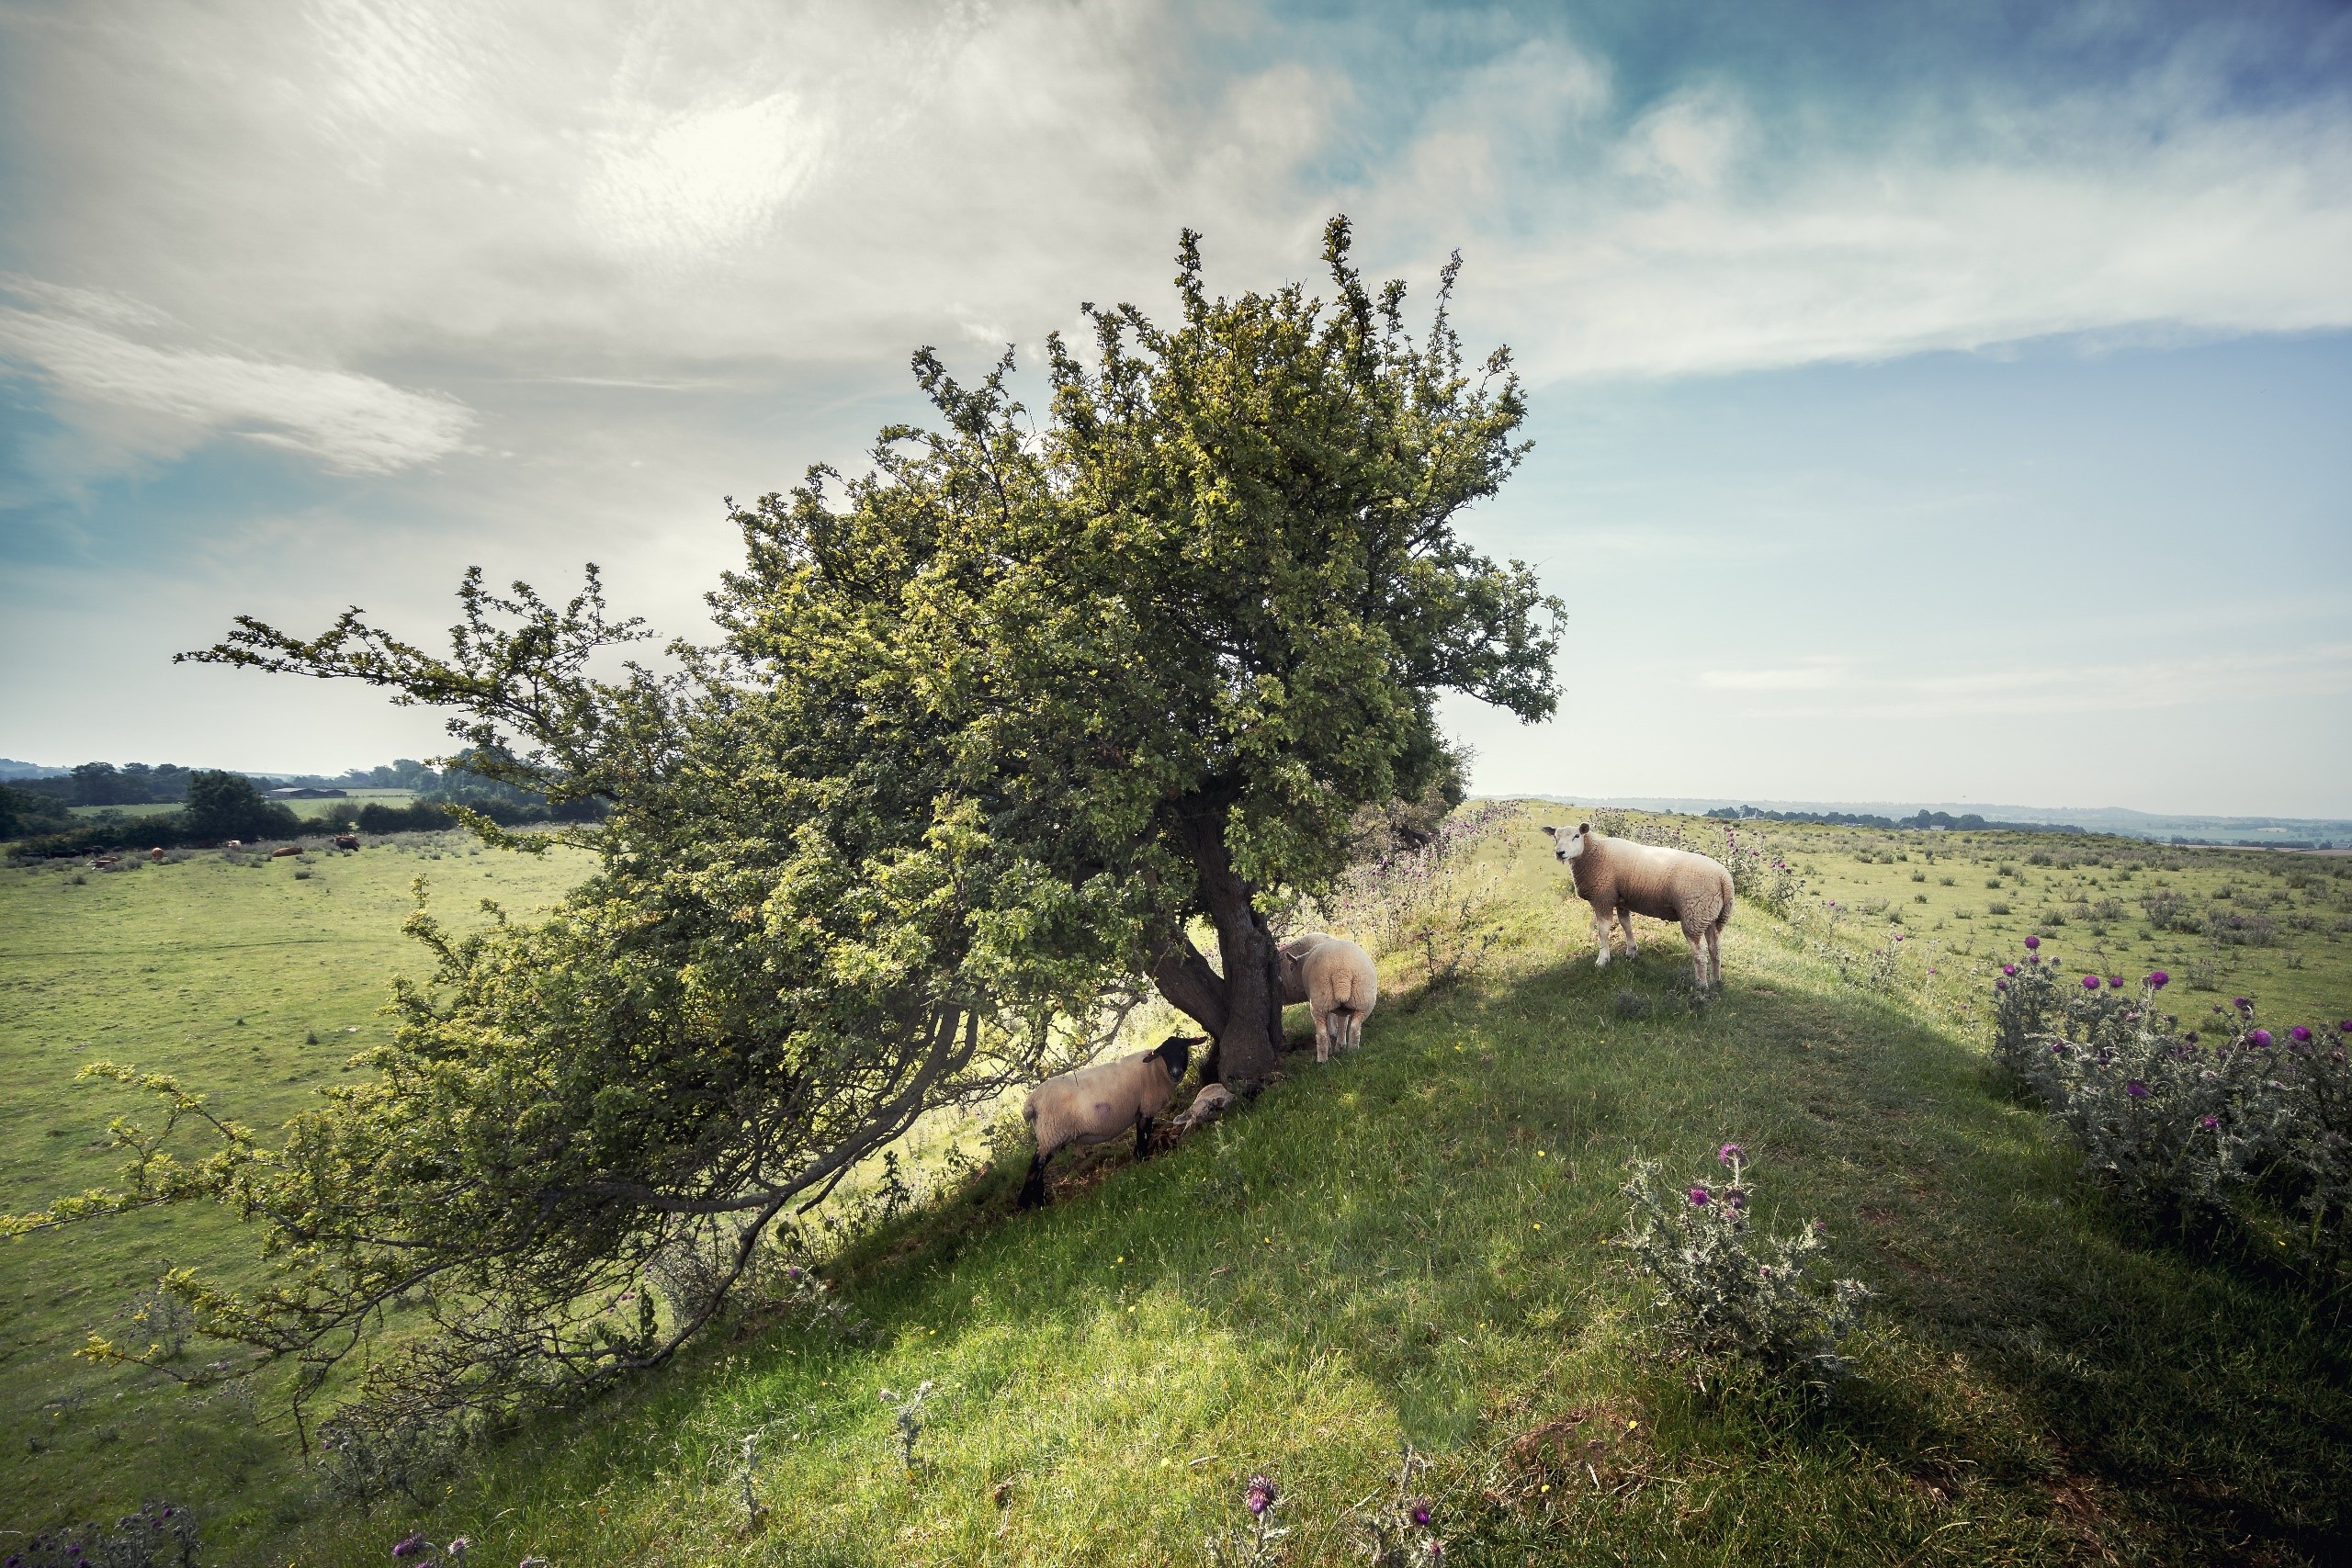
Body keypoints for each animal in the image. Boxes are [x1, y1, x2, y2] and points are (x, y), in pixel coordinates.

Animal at [1018, 1034, 1200, 1208]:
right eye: (1164, 1054)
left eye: (1183, 1049)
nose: (1176, 1073)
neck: (1156, 1069)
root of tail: (1031, 1104)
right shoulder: (1147, 1108)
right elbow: (1144, 1135)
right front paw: (1144, 1160)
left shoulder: (1140, 1111)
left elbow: (1141, 1136)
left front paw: (1138, 1157)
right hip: (1052, 1133)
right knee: (1035, 1167)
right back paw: (1029, 1204)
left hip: (1048, 1136)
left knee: (1039, 1167)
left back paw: (1039, 1200)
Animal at [1278, 935, 1379, 1063]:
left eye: (1291, 968)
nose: (1294, 987)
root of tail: (1342, 973)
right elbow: (1343, 1022)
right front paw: (1341, 1044)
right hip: (1362, 999)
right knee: (1354, 1027)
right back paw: (1351, 1050)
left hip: (1321, 1002)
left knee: (1322, 1032)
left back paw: (1322, 1059)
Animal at [1540, 822, 1733, 989]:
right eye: (1555, 837)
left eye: (1577, 836)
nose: (1560, 852)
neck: (1595, 853)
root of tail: (1724, 879)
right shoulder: (1621, 900)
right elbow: (1626, 925)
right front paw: (1632, 952)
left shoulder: (1603, 897)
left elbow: (1603, 930)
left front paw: (1603, 960)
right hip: (1710, 916)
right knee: (1715, 948)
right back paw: (1715, 980)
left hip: (1694, 914)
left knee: (1700, 953)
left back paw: (1701, 986)